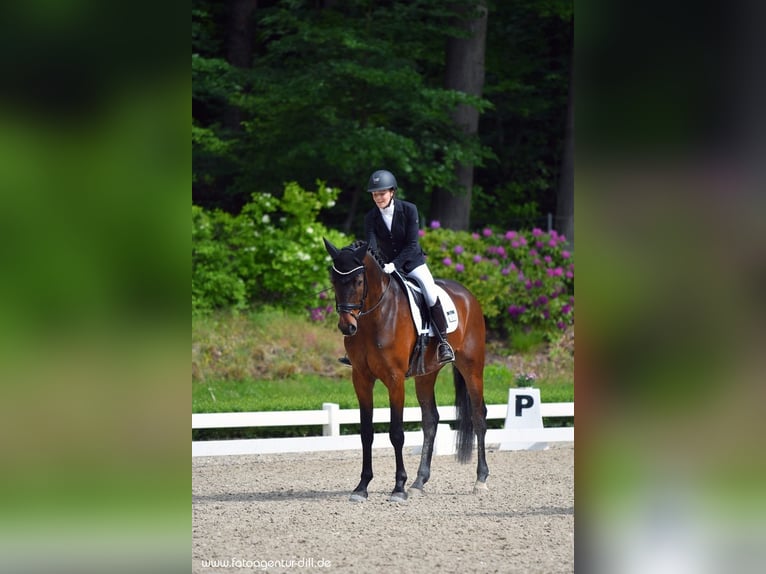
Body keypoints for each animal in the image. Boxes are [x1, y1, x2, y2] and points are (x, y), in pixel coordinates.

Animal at [323, 238, 489, 502]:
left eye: (358, 281)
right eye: (334, 280)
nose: (347, 327)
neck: (375, 317)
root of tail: (467, 294)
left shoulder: (395, 379)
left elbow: (396, 433)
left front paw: (398, 487)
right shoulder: (361, 378)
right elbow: (366, 433)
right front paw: (362, 487)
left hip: (471, 366)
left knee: (478, 416)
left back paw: (480, 480)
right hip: (427, 374)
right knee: (430, 420)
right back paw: (419, 482)